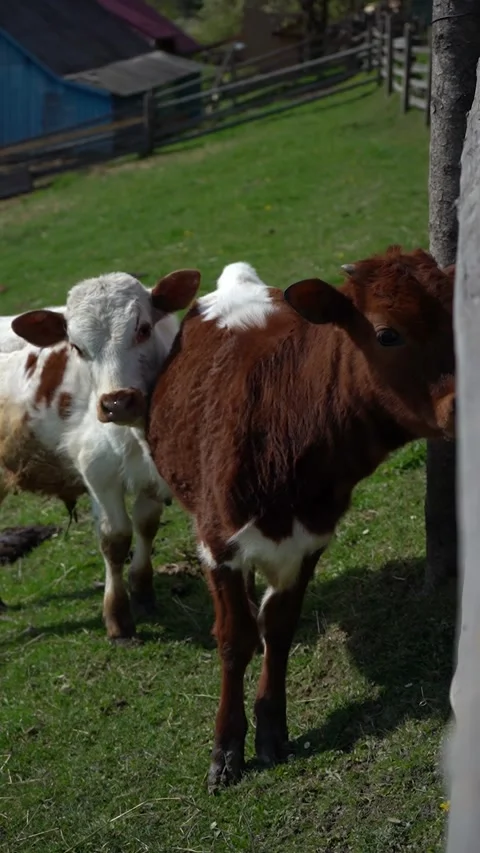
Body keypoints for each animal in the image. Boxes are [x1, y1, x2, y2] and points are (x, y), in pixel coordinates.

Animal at [1, 268, 200, 640]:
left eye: (143, 329)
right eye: (76, 347)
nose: (117, 402)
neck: (138, 437)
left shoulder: (153, 477)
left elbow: (146, 524)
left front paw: (142, 591)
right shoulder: (97, 471)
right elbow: (115, 538)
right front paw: (118, 619)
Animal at [147, 246, 455, 791]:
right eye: (387, 333)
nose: (464, 406)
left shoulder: (310, 539)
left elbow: (279, 629)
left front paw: (272, 731)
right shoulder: (217, 541)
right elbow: (235, 639)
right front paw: (226, 750)